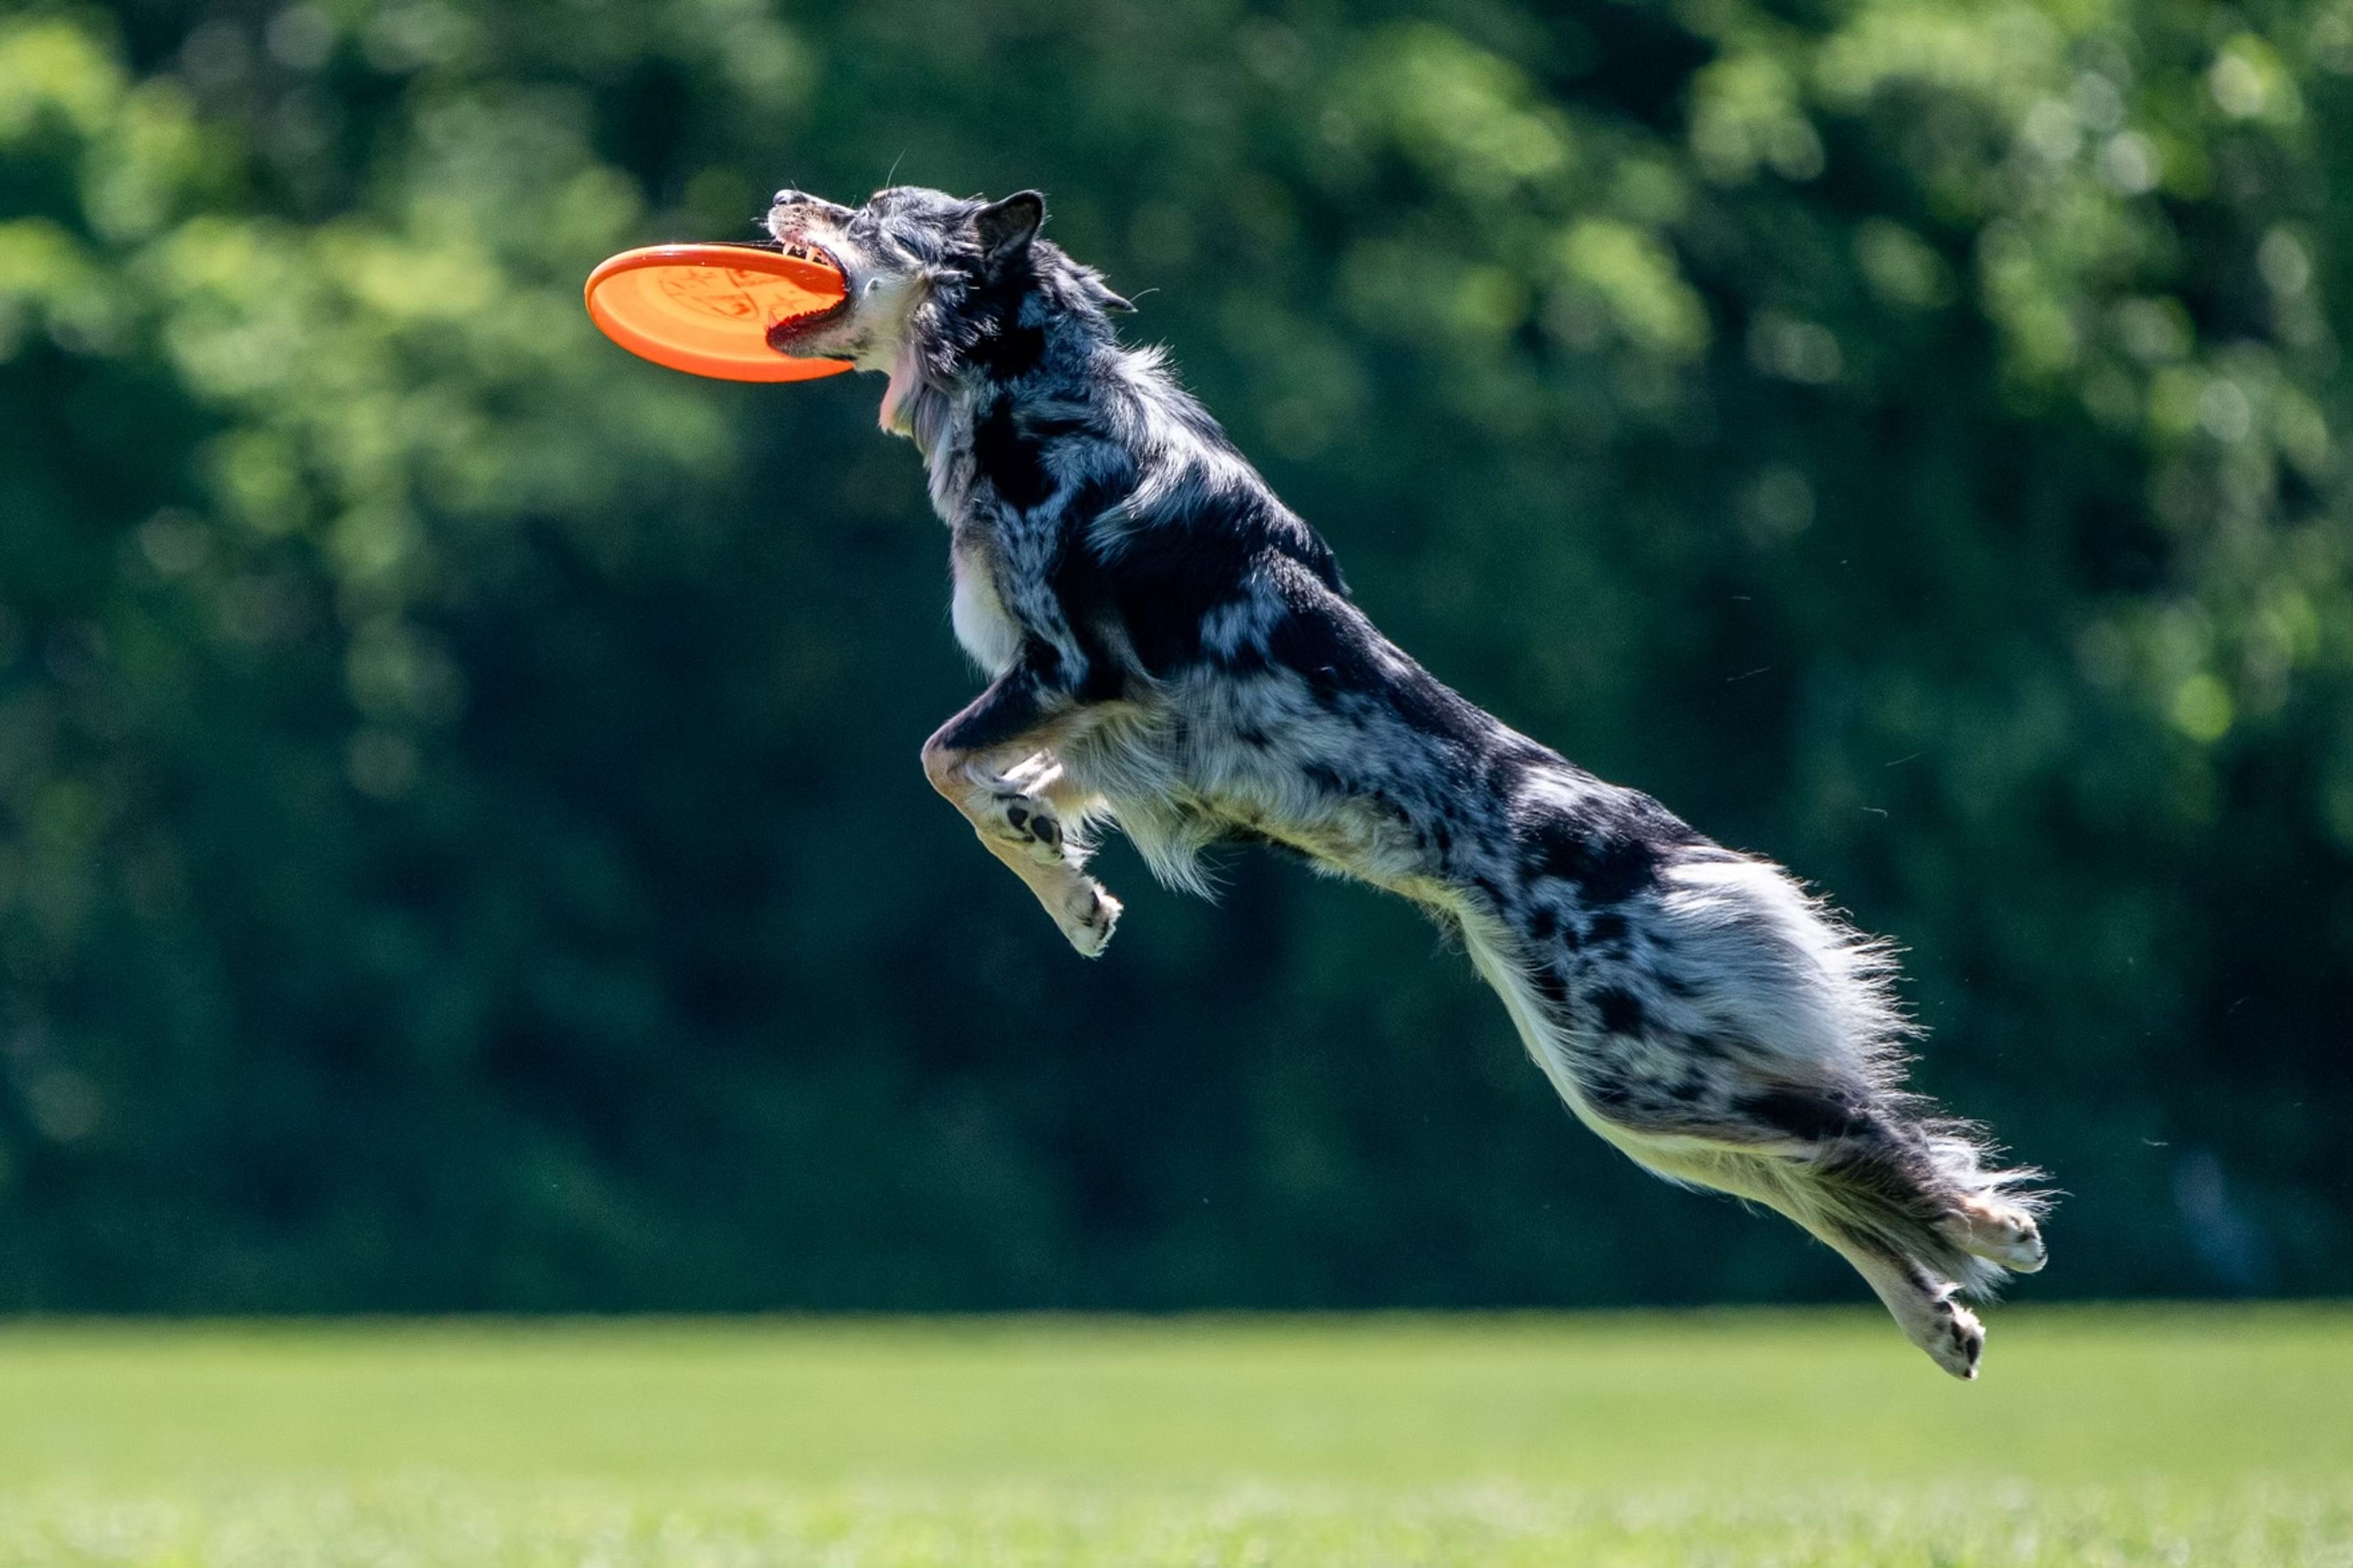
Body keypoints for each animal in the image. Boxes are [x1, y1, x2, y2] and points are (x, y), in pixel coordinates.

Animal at [767, 183, 2042, 1374]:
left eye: (875, 211)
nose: (784, 197)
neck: (1031, 389)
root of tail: (1675, 848)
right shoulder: (1122, 736)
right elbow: (995, 793)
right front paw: (1068, 883)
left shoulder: (1071, 668)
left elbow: (939, 758)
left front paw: (1058, 873)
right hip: (1630, 1089)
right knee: (1816, 1170)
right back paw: (1938, 1313)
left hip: (1639, 1062)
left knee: (1849, 1122)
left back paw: (1993, 1221)